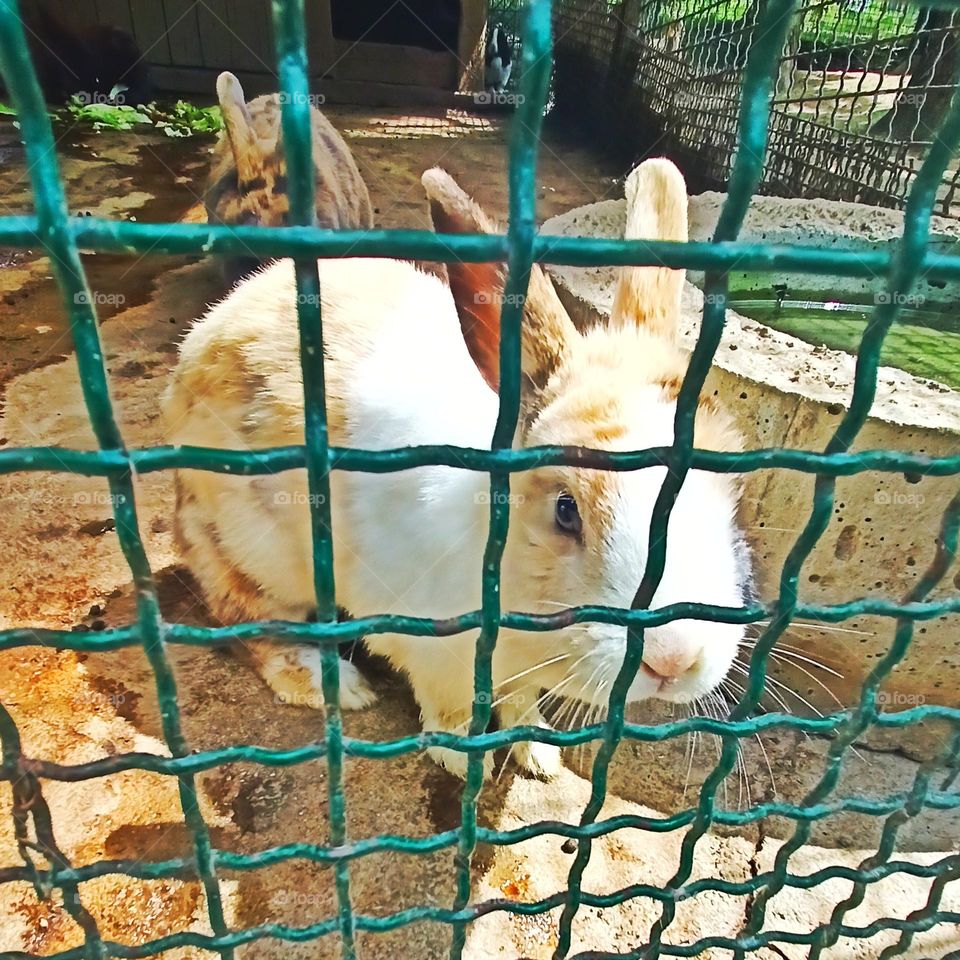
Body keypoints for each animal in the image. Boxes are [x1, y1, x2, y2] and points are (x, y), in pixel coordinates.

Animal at [163, 158, 752, 781]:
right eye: (566, 511)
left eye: (731, 497)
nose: (675, 659)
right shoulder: (430, 647)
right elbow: (448, 707)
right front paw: (463, 759)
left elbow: (518, 702)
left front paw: (539, 754)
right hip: (256, 554)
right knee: (248, 621)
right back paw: (337, 686)